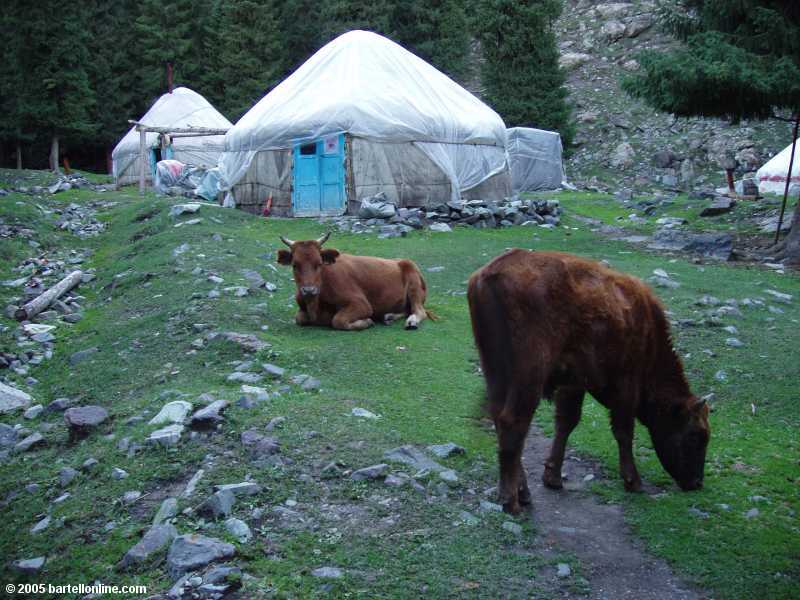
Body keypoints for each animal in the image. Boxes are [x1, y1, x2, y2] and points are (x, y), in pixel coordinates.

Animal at [276, 232, 432, 330]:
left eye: (319, 263)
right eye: (295, 265)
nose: (309, 290)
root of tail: (402, 261)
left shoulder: (361, 304)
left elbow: (338, 320)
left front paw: (367, 322)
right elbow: (299, 318)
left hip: (414, 286)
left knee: (418, 310)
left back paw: (411, 321)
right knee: (407, 309)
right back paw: (389, 316)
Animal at [468, 251, 712, 512]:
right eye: (696, 435)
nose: (697, 483)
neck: (649, 335)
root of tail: (489, 274)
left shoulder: (573, 383)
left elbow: (566, 422)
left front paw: (553, 477)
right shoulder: (627, 383)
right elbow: (624, 431)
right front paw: (633, 481)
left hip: (495, 371)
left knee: (500, 419)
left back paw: (523, 493)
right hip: (529, 375)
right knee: (513, 422)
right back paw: (511, 500)